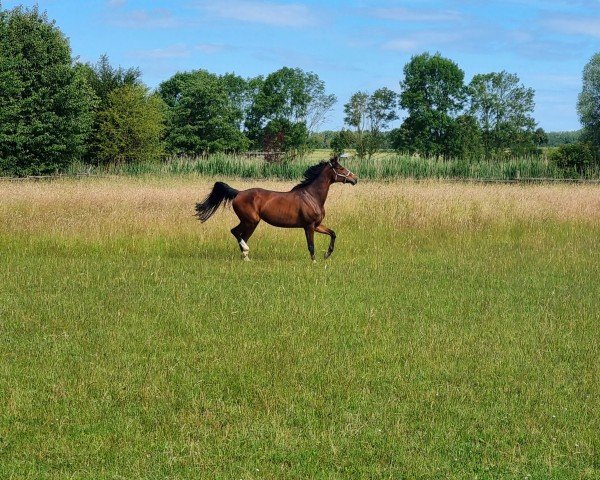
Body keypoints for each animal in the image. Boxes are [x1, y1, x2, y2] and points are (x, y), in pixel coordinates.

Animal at [196, 156, 356, 260]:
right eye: (341, 168)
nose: (355, 178)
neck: (311, 197)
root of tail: (238, 193)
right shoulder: (309, 226)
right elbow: (311, 245)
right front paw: (314, 262)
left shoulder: (316, 225)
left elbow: (333, 233)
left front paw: (327, 254)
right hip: (250, 220)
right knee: (235, 232)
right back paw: (246, 252)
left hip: (251, 223)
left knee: (243, 236)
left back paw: (246, 257)